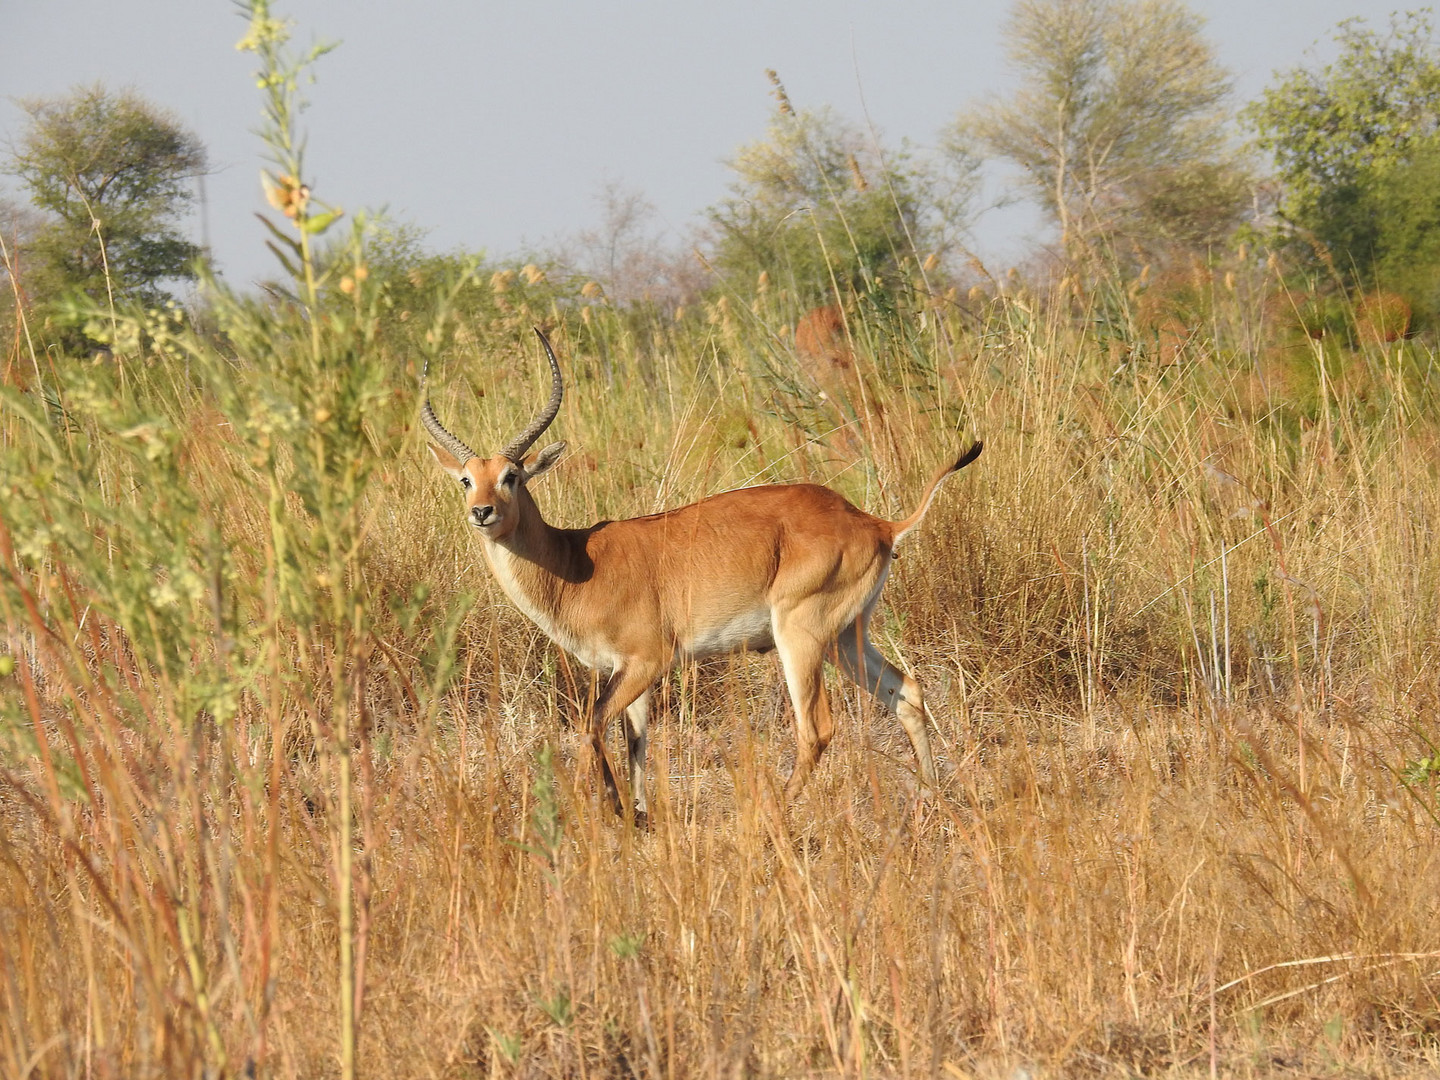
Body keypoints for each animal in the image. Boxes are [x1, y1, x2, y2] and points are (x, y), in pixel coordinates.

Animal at [417, 329, 979, 817]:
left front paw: (614, 811)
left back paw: (768, 812)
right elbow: (636, 740)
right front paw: (639, 817)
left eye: (511, 476)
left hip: (800, 635)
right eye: (466, 479)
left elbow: (593, 723)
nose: (482, 512)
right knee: (907, 693)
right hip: (846, 637)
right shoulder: (627, 672)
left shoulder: (648, 660)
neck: (575, 563)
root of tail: (877, 523)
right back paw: (930, 799)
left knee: (817, 728)